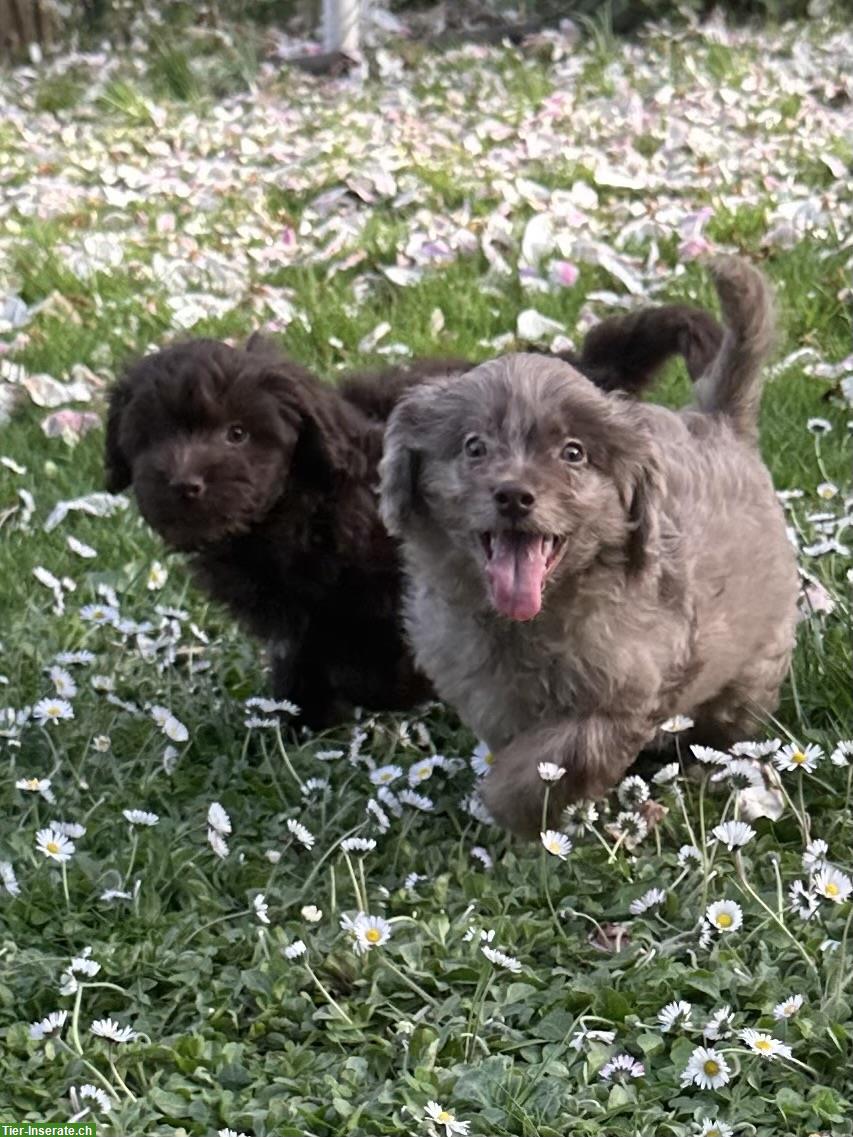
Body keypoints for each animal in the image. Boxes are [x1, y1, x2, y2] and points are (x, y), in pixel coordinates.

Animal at [379, 261, 800, 841]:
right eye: (474, 447)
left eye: (573, 454)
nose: (514, 495)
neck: (529, 621)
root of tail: (719, 421)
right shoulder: (486, 690)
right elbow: (520, 746)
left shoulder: (623, 699)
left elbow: (549, 762)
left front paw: (508, 809)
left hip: (758, 653)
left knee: (734, 715)